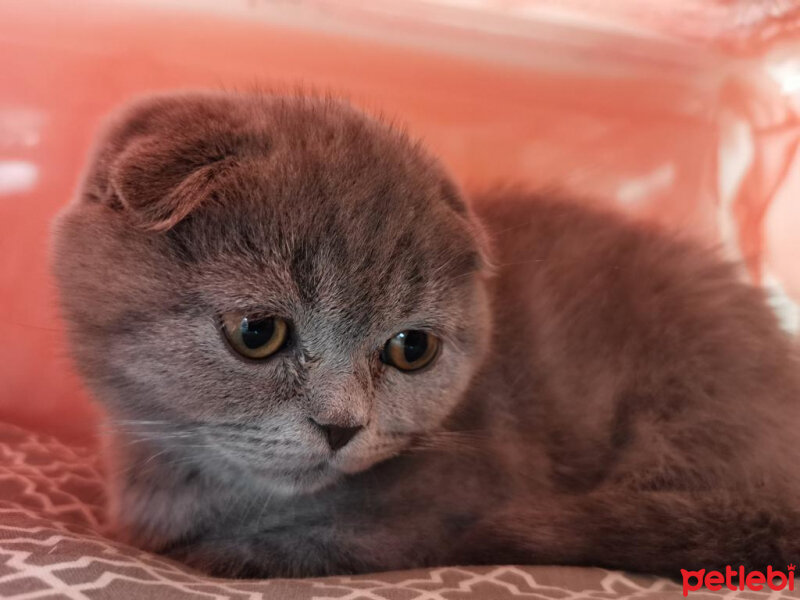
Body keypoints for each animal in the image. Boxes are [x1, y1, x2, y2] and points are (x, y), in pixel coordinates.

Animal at [51, 91, 800, 580]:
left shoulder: (459, 494)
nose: (341, 426)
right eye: (257, 333)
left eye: (411, 349)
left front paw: (237, 551)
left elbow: (355, 535)